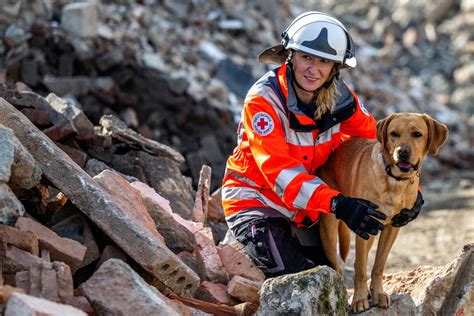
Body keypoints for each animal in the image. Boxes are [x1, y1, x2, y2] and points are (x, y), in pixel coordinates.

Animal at [318, 113, 448, 312]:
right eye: (394, 133)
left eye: (417, 134)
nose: (402, 151)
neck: (394, 181)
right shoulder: (364, 221)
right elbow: (361, 269)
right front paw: (359, 299)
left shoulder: (391, 228)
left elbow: (378, 265)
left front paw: (377, 293)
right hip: (329, 231)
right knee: (338, 268)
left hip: (371, 231)